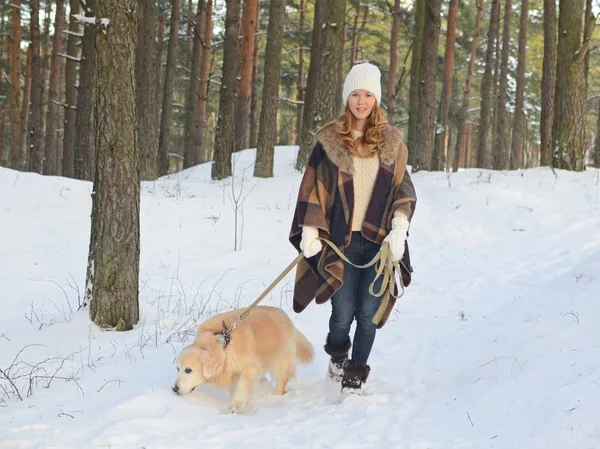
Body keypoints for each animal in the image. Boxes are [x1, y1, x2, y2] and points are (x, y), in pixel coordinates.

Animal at [171, 302, 314, 412]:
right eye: (177, 369)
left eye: (188, 370)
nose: (174, 388)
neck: (222, 344)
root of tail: (284, 314)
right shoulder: (233, 371)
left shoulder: (248, 368)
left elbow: (242, 386)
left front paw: (236, 405)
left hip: (280, 360)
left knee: (282, 380)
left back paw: (275, 396)